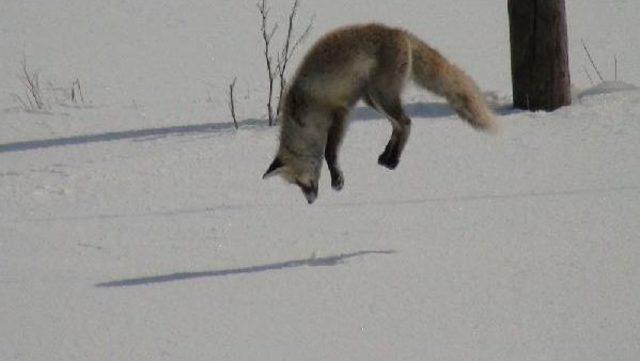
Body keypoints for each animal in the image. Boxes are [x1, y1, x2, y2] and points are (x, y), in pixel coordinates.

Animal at [262, 22, 498, 202]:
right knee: (397, 125)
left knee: (406, 122)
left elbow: (330, 153)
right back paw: (387, 157)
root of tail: (399, 32)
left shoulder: (341, 112)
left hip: (381, 96)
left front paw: (337, 181)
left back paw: (393, 161)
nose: (310, 201)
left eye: (300, 181)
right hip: (372, 99)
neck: (305, 113)